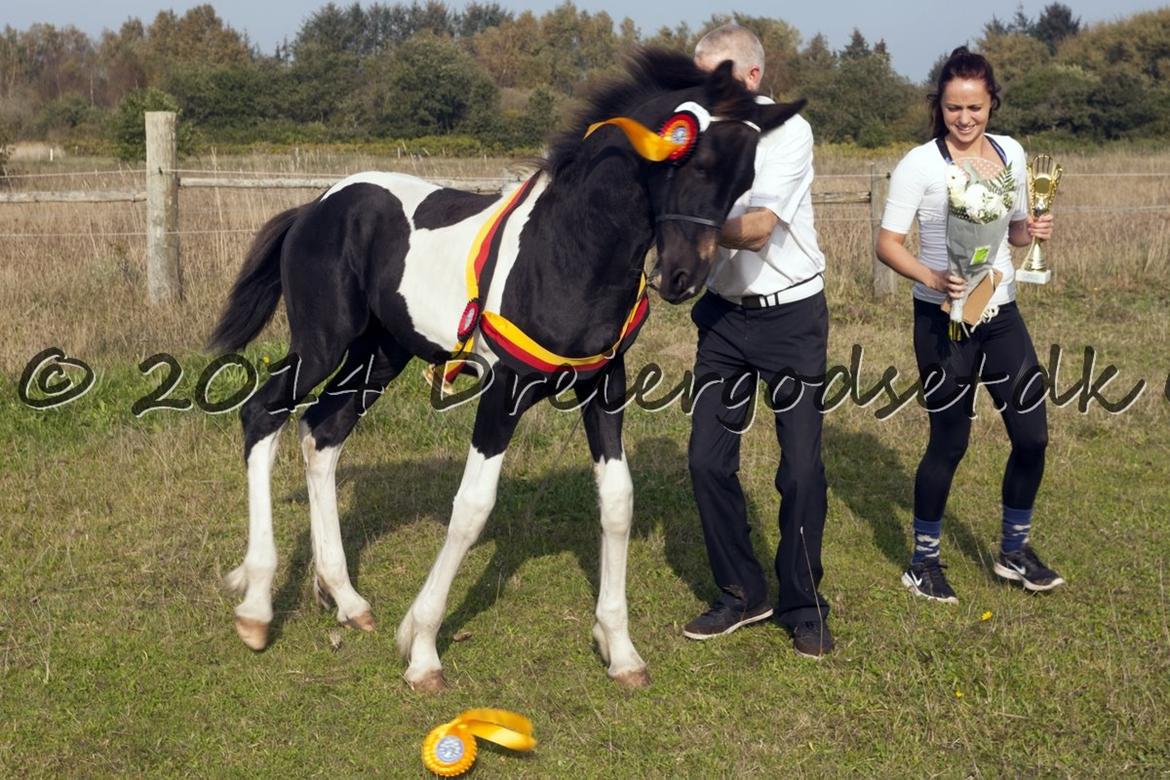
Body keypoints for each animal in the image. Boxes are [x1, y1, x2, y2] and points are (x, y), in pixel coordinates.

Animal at [209, 48, 804, 690]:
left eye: (745, 181)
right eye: (691, 160)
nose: (681, 278)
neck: (565, 250)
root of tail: (317, 205)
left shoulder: (606, 387)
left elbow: (617, 500)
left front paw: (620, 650)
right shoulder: (505, 390)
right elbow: (472, 508)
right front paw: (422, 649)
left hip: (379, 355)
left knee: (321, 434)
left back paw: (345, 598)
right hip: (322, 342)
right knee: (263, 413)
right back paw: (257, 606)